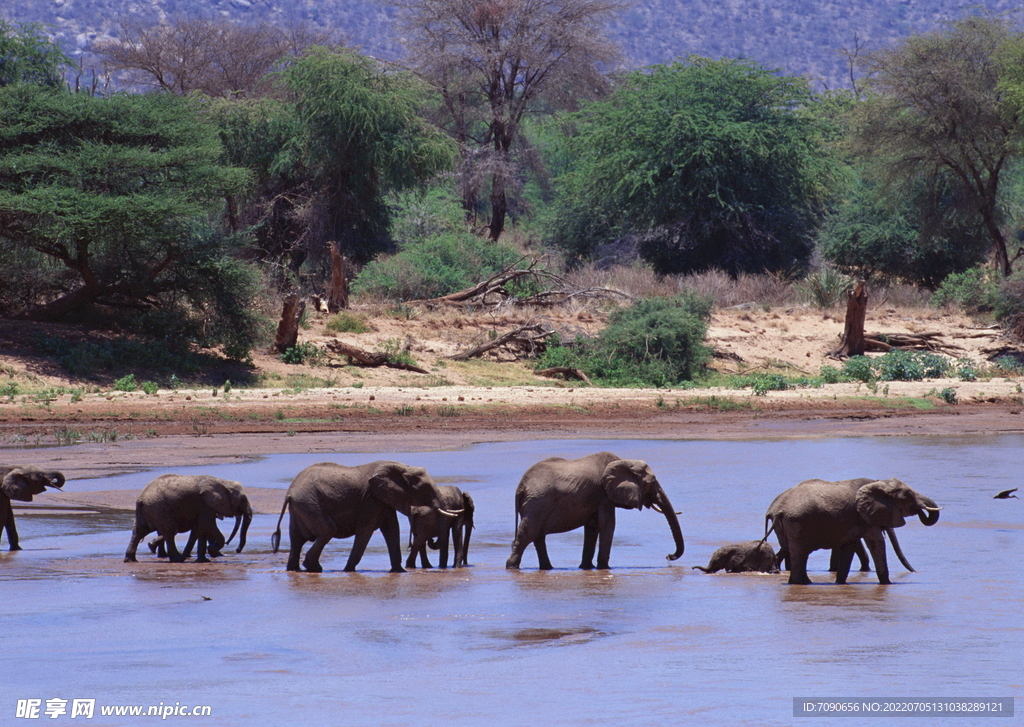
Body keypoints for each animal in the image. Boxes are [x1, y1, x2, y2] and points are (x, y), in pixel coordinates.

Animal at [270, 460, 458, 573]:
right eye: (426, 488)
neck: (402, 467)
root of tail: (289, 493)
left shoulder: (383, 499)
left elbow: (392, 529)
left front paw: (399, 572)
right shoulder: (371, 499)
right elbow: (365, 530)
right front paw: (348, 571)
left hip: (301, 507)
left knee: (296, 538)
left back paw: (295, 570)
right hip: (310, 504)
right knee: (327, 530)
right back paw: (313, 567)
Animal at [505, 452, 684, 573]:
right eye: (651, 483)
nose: (668, 556)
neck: (623, 461)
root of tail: (521, 486)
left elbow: (593, 528)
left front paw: (587, 567)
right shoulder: (603, 495)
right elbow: (608, 525)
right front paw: (605, 568)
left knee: (537, 536)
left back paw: (548, 568)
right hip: (537, 504)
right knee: (528, 534)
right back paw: (512, 567)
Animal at [765, 479, 937, 585]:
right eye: (909, 495)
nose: (917, 572)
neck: (877, 483)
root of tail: (777, 509)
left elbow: (849, 546)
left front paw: (840, 583)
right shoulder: (863, 517)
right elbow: (876, 543)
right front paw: (887, 584)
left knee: (794, 551)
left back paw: (802, 583)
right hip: (797, 523)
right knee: (799, 552)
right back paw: (802, 583)